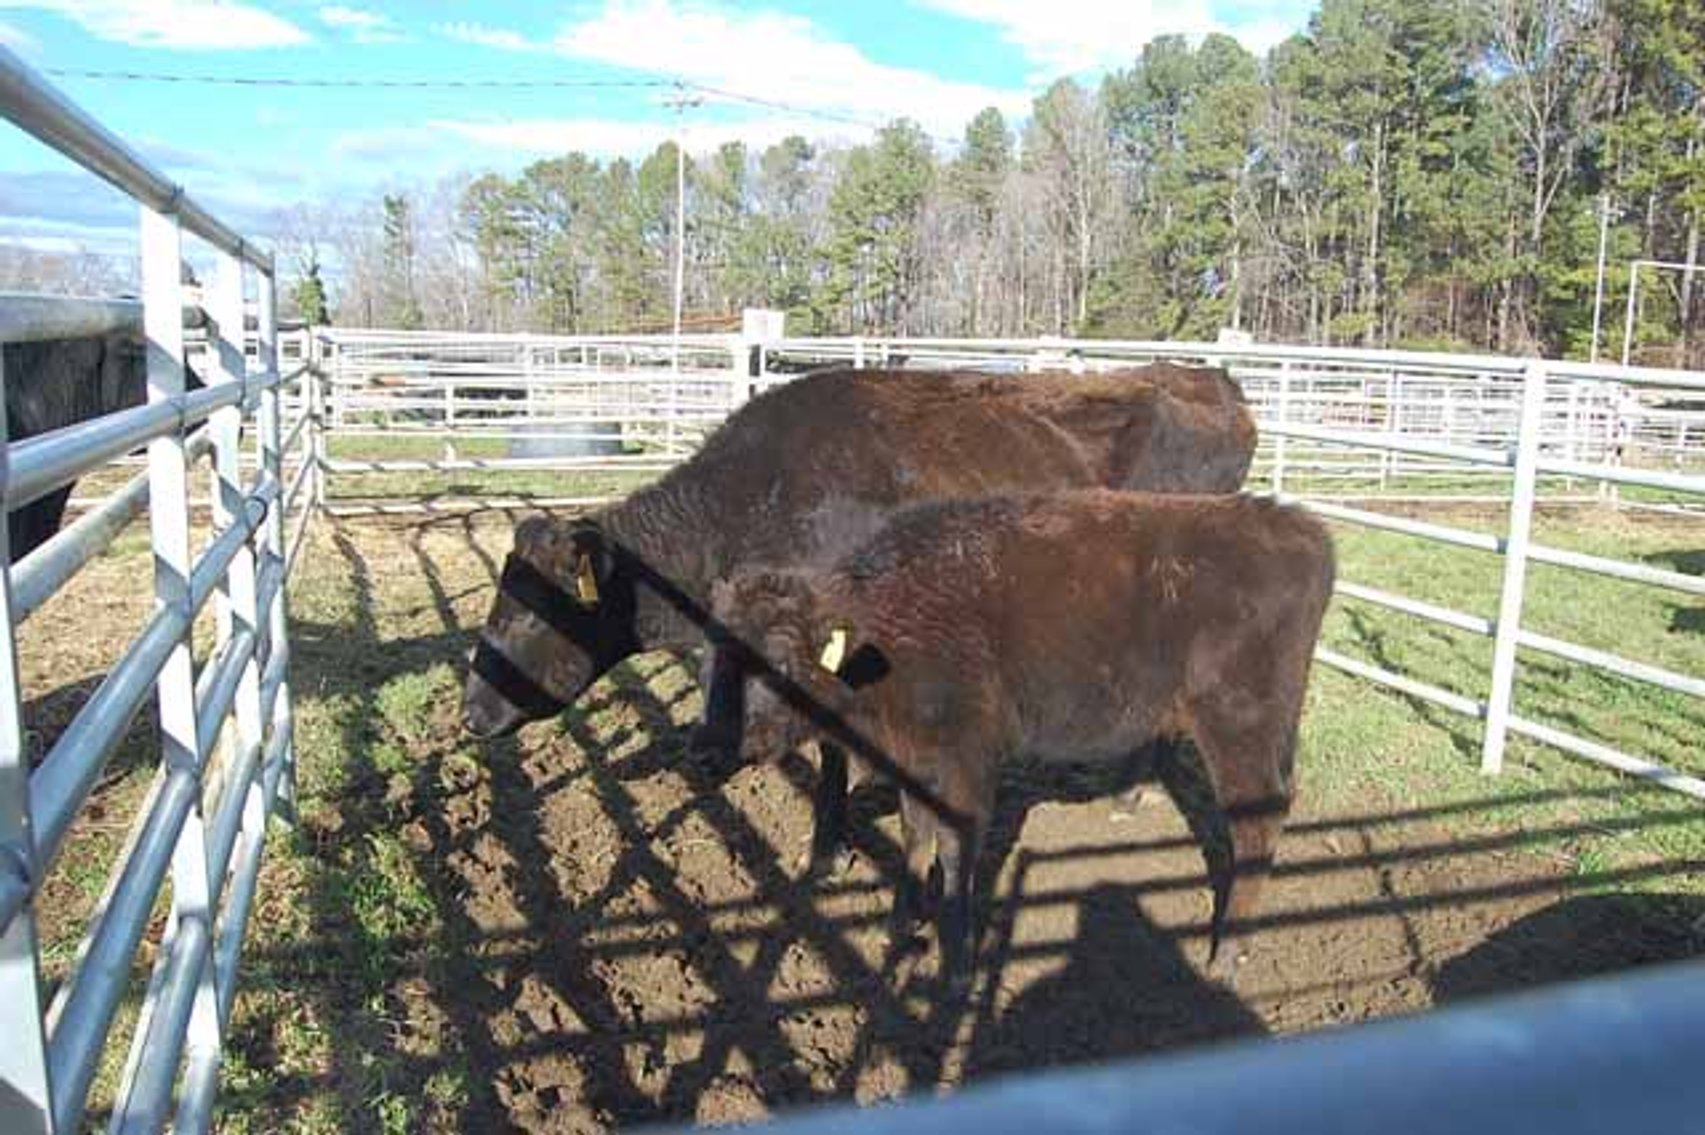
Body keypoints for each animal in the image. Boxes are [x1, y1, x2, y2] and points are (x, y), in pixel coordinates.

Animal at [709, 490, 1335, 986]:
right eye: (718, 650)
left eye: (780, 661)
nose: (713, 741)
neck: (889, 629)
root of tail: (1293, 524)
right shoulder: (917, 763)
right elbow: (916, 839)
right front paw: (901, 929)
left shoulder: (967, 767)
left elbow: (955, 852)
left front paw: (955, 964)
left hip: (1240, 729)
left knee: (1259, 822)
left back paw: (1226, 955)